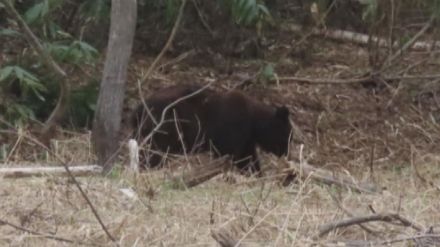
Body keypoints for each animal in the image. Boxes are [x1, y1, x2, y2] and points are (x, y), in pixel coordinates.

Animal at [130, 84, 292, 175]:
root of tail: (139, 108)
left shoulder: (246, 140)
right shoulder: (232, 130)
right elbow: (228, 155)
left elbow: (247, 159)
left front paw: (256, 175)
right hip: (164, 127)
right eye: (287, 135)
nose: (286, 153)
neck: (254, 123)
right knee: (153, 152)